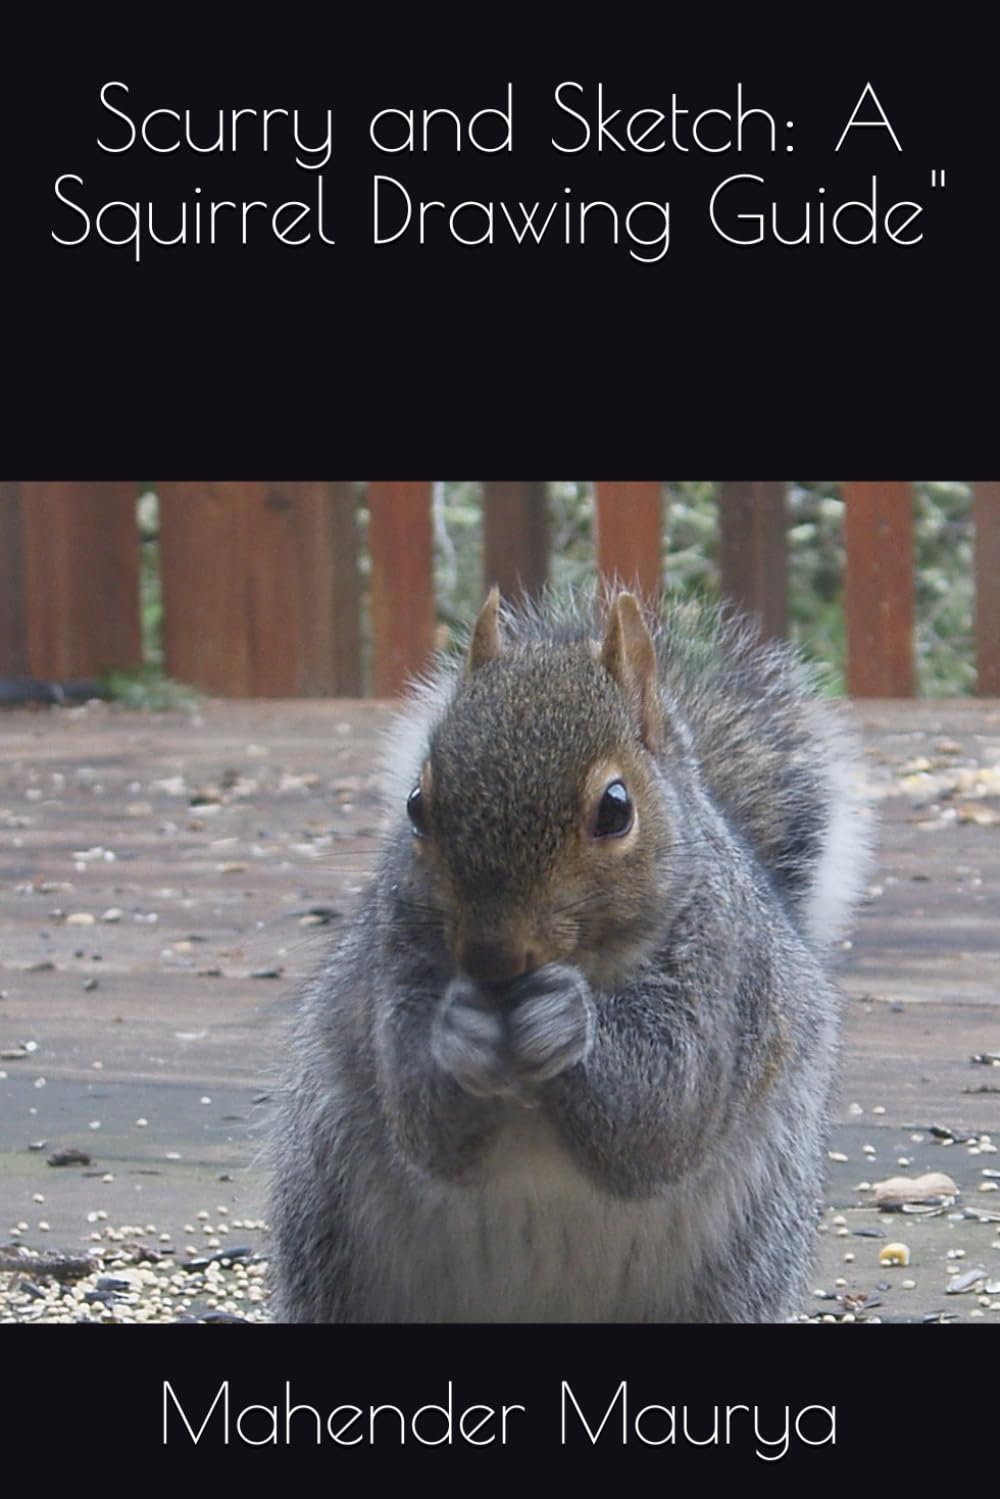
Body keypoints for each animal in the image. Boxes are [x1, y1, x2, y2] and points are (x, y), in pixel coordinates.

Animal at [269, 587, 871, 1322]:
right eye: (416, 804)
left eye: (615, 809)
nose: (491, 958)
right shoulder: (397, 959)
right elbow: (421, 1116)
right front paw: (459, 1031)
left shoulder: (725, 979)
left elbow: (664, 1113)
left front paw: (562, 1021)